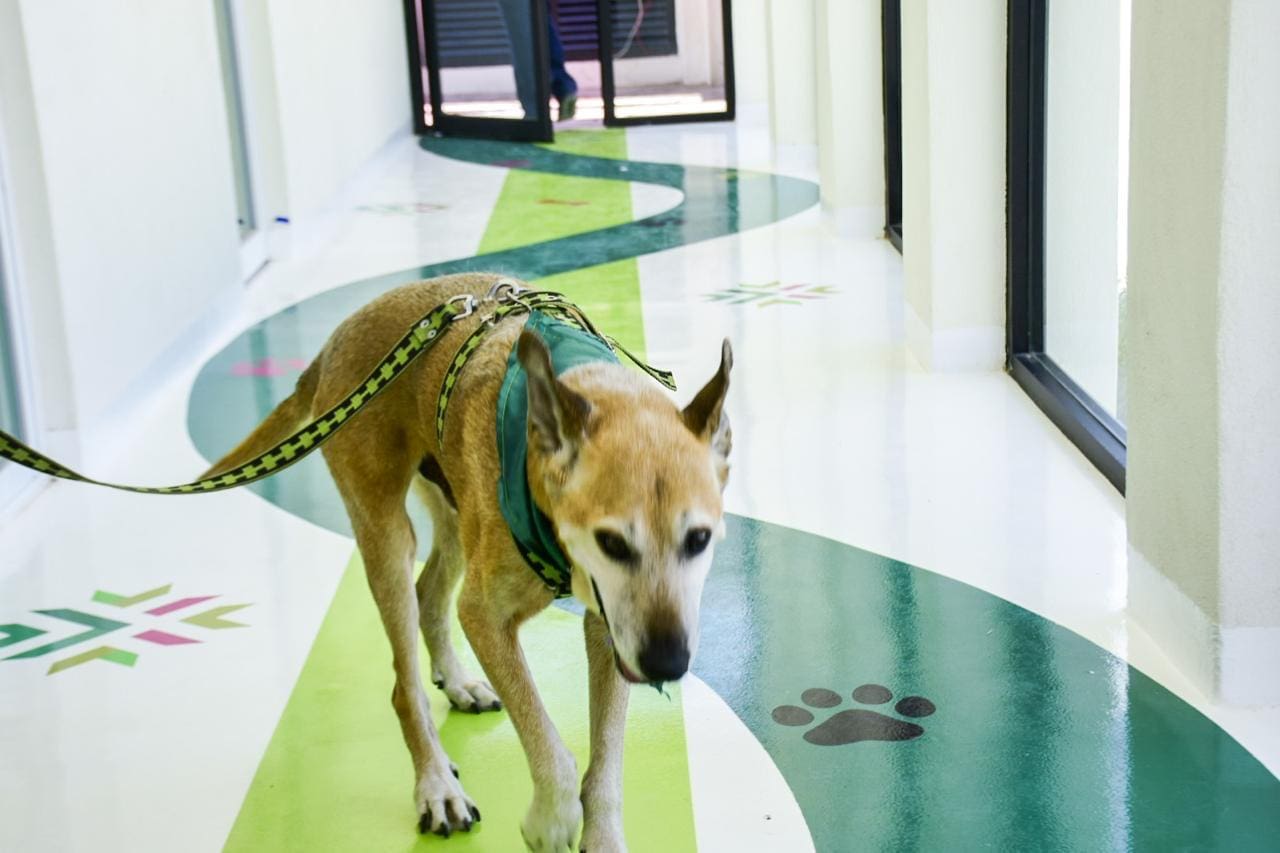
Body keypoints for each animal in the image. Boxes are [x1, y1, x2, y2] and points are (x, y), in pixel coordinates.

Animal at [204, 272, 732, 851]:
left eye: (699, 539)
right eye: (612, 543)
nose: (667, 664)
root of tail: (332, 345)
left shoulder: (608, 628)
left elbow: (608, 762)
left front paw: (602, 837)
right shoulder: (486, 616)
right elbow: (547, 741)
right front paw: (551, 816)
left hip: (456, 511)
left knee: (430, 594)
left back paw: (457, 683)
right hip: (386, 535)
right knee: (405, 682)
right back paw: (436, 783)